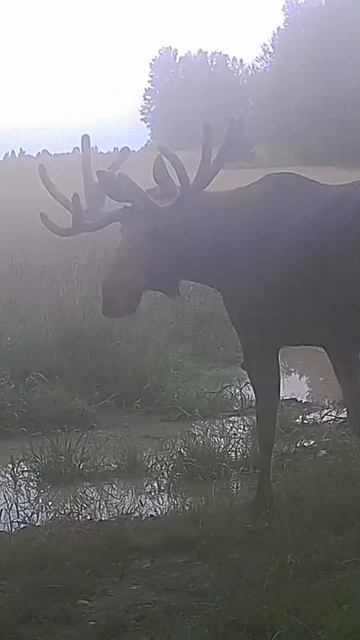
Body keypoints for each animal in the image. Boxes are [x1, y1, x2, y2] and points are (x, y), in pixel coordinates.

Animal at [37, 120, 360, 508]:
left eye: (158, 229)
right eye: (122, 229)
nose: (111, 294)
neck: (221, 263)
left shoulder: (276, 334)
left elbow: (268, 421)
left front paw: (262, 498)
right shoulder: (326, 339)